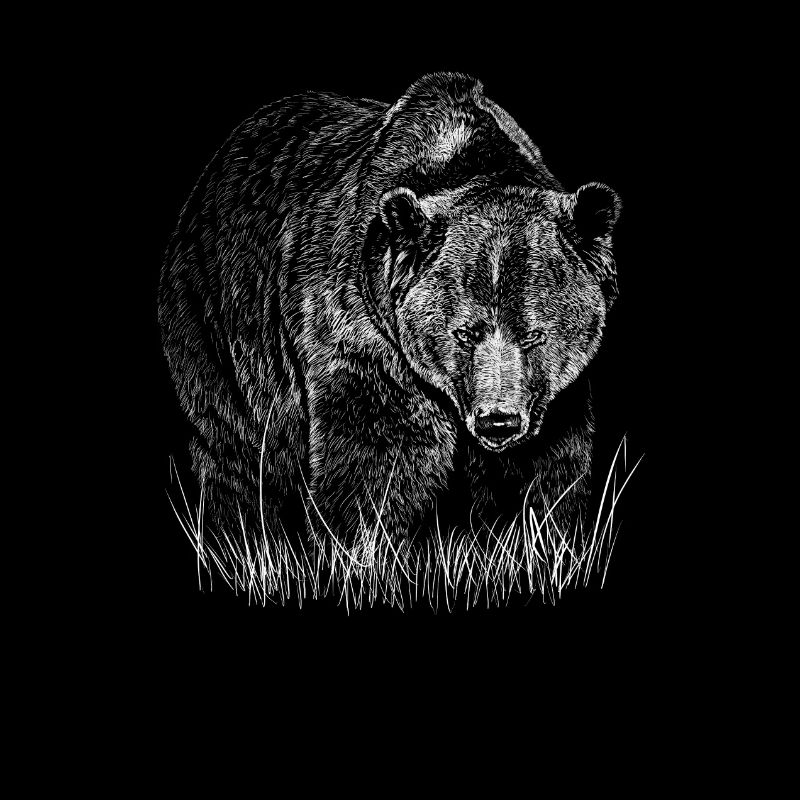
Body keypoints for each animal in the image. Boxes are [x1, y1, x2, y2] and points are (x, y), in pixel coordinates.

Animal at [158, 72, 621, 547]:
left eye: (533, 333)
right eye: (464, 332)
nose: (498, 420)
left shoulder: (555, 394)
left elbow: (545, 471)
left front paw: (541, 539)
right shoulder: (361, 337)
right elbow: (378, 459)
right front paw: (363, 547)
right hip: (221, 323)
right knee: (236, 450)